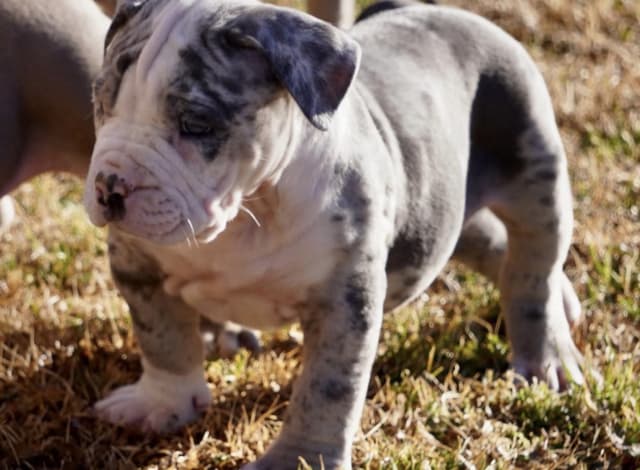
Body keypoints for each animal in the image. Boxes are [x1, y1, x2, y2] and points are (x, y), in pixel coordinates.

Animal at [83, 0, 585, 468]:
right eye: (100, 102)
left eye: (196, 124)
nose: (110, 186)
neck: (248, 210)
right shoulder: (136, 266)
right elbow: (162, 336)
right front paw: (162, 403)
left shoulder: (344, 302)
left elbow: (326, 389)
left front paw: (298, 459)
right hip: (446, 205)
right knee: (491, 242)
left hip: (532, 161)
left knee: (533, 269)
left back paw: (548, 355)